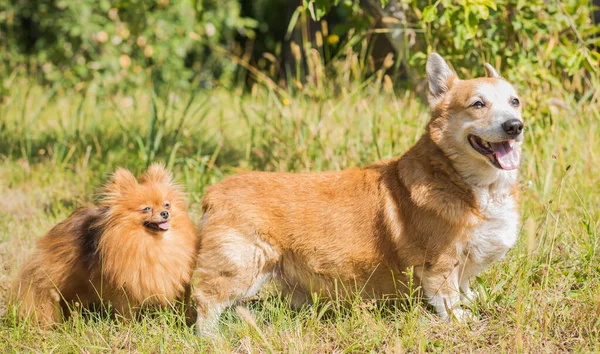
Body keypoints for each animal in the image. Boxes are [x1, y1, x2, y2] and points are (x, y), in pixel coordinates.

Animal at [191, 51, 520, 332]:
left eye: (515, 102)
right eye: (478, 104)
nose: (515, 126)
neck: (469, 182)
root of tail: (213, 194)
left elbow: (464, 286)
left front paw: (472, 299)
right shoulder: (438, 262)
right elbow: (446, 294)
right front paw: (458, 317)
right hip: (243, 267)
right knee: (206, 301)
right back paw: (211, 338)